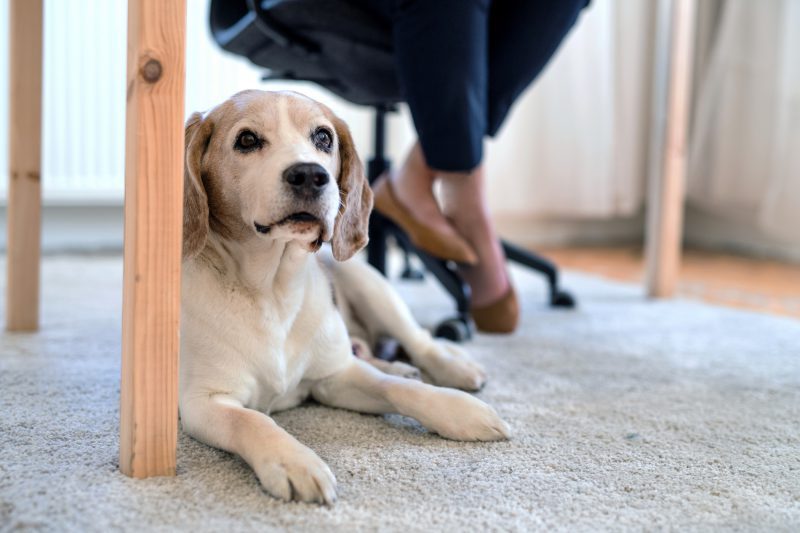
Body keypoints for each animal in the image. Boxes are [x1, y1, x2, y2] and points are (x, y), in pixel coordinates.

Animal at [179, 90, 510, 502]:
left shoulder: (336, 376)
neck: (273, 291)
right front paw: (292, 460)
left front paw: (459, 410)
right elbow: (252, 420)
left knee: (420, 342)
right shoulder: (203, 403)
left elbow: (400, 389)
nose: (309, 175)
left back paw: (452, 368)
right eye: (247, 140)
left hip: (368, 280)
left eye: (323, 137)